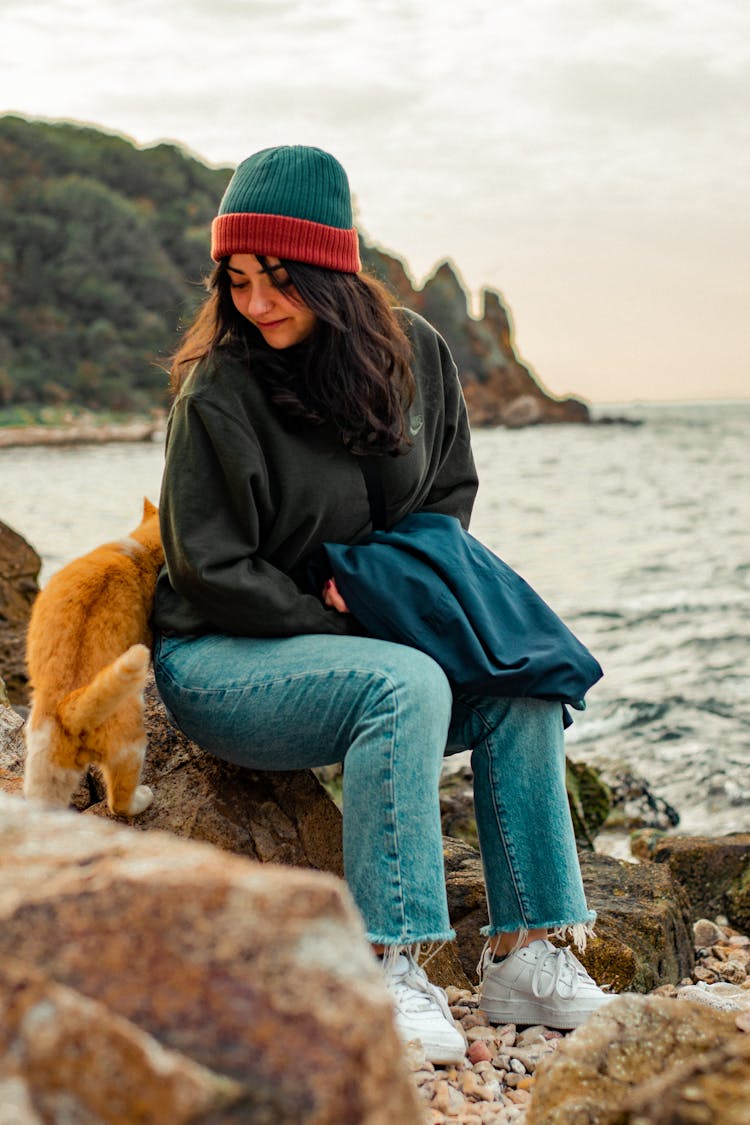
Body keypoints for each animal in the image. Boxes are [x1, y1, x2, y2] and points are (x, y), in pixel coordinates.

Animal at [23, 497, 164, 814]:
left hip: (45, 769)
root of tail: (71, 710)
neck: (141, 551)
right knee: (119, 802)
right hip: (132, 746)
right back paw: (141, 799)